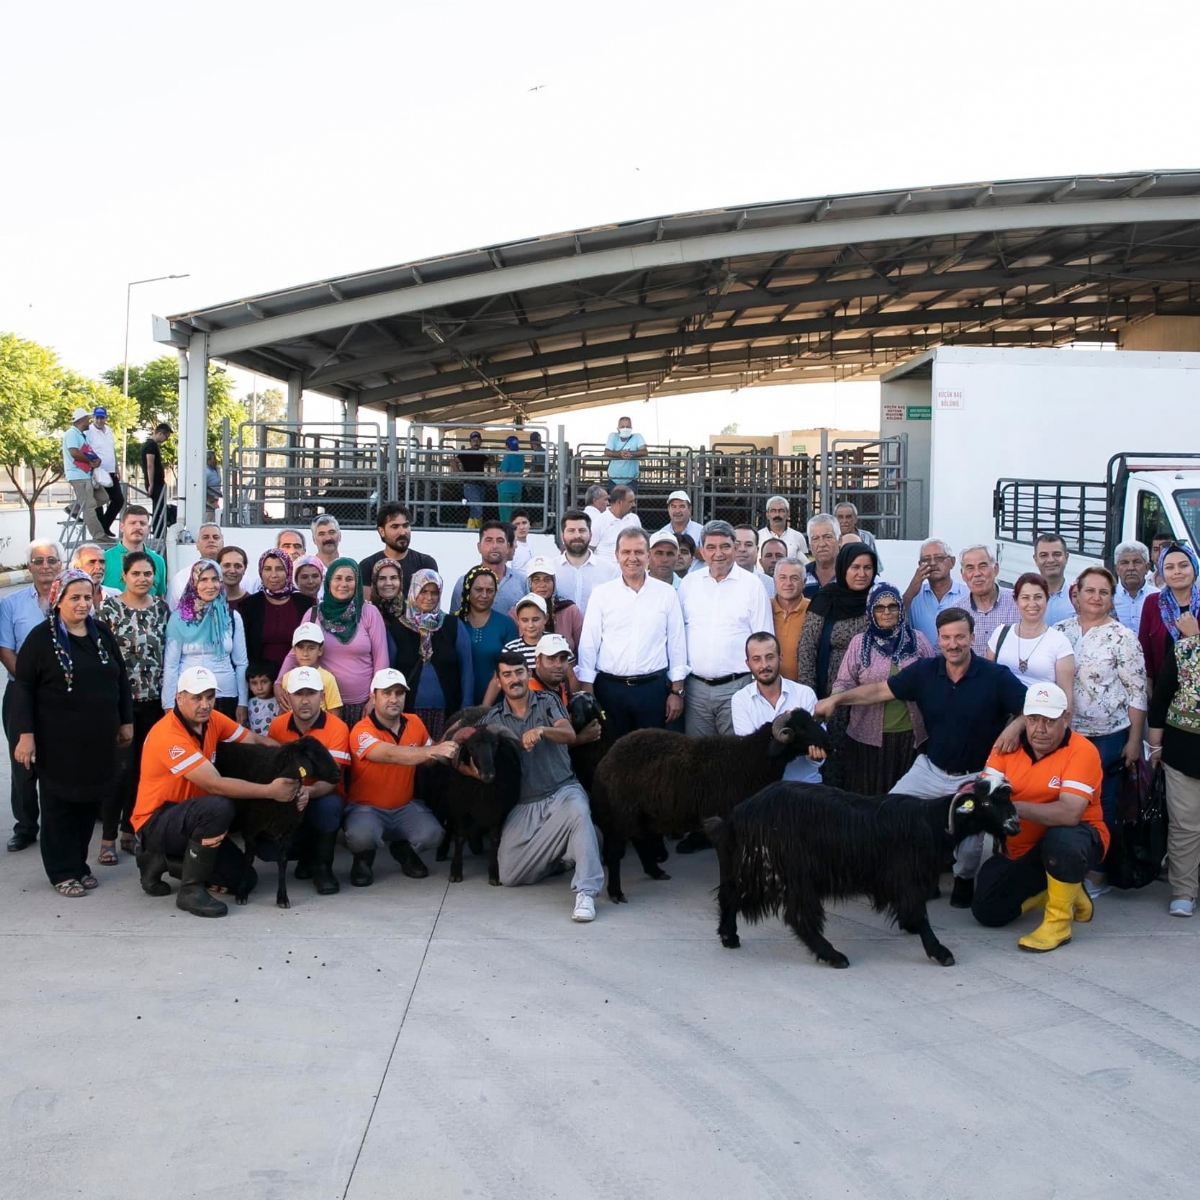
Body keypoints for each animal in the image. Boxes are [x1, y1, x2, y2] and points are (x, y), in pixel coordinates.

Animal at [211, 729, 340, 907]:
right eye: (311, 755)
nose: (338, 773)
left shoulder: (286, 831)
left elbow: (283, 862)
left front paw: (282, 897)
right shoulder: (251, 829)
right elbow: (248, 859)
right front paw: (242, 893)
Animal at [432, 705, 525, 888]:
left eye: (495, 744)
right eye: (471, 747)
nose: (489, 774)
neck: (483, 789)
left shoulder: (499, 811)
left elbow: (495, 839)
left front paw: (494, 873)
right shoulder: (460, 807)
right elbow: (459, 837)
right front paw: (456, 872)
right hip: (447, 796)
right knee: (447, 821)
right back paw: (442, 850)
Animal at [588, 710, 825, 902]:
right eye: (801, 727)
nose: (829, 743)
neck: (750, 759)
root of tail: (605, 761)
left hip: (639, 814)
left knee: (638, 840)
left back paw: (655, 871)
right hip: (621, 813)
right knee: (615, 852)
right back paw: (616, 893)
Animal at [700, 777, 1022, 964]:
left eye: (1007, 799)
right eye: (985, 802)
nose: (1014, 825)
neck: (931, 822)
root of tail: (739, 815)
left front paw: (912, 929)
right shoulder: (905, 876)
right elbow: (920, 914)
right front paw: (939, 951)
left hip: (756, 868)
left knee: (730, 896)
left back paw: (729, 937)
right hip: (789, 871)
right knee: (799, 916)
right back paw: (832, 955)